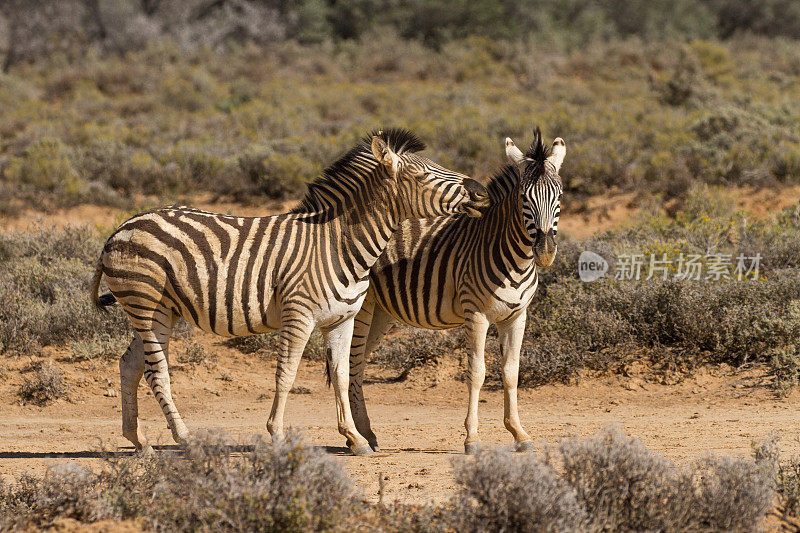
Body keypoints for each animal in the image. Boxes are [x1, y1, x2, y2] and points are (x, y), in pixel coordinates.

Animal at [87, 128, 488, 454]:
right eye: (422, 176)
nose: (482, 192)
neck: (338, 244)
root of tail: (121, 227)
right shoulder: (299, 315)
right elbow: (287, 375)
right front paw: (277, 436)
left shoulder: (342, 319)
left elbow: (342, 375)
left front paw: (355, 438)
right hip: (146, 302)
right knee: (156, 372)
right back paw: (184, 439)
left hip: (161, 311)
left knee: (129, 365)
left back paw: (139, 441)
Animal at [344, 128, 564, 454]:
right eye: (525, 198)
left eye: (559, 196)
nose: (546, 252)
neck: (515, 259)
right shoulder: (477, 315)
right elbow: (477, 373)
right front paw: (472, 438)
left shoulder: (517, 316)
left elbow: (511, 372)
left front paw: (519, 434)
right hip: (362, 309)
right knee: (351, 363)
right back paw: (356, 438)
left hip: (382, 314)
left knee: (355, 367)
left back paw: (364, 435)